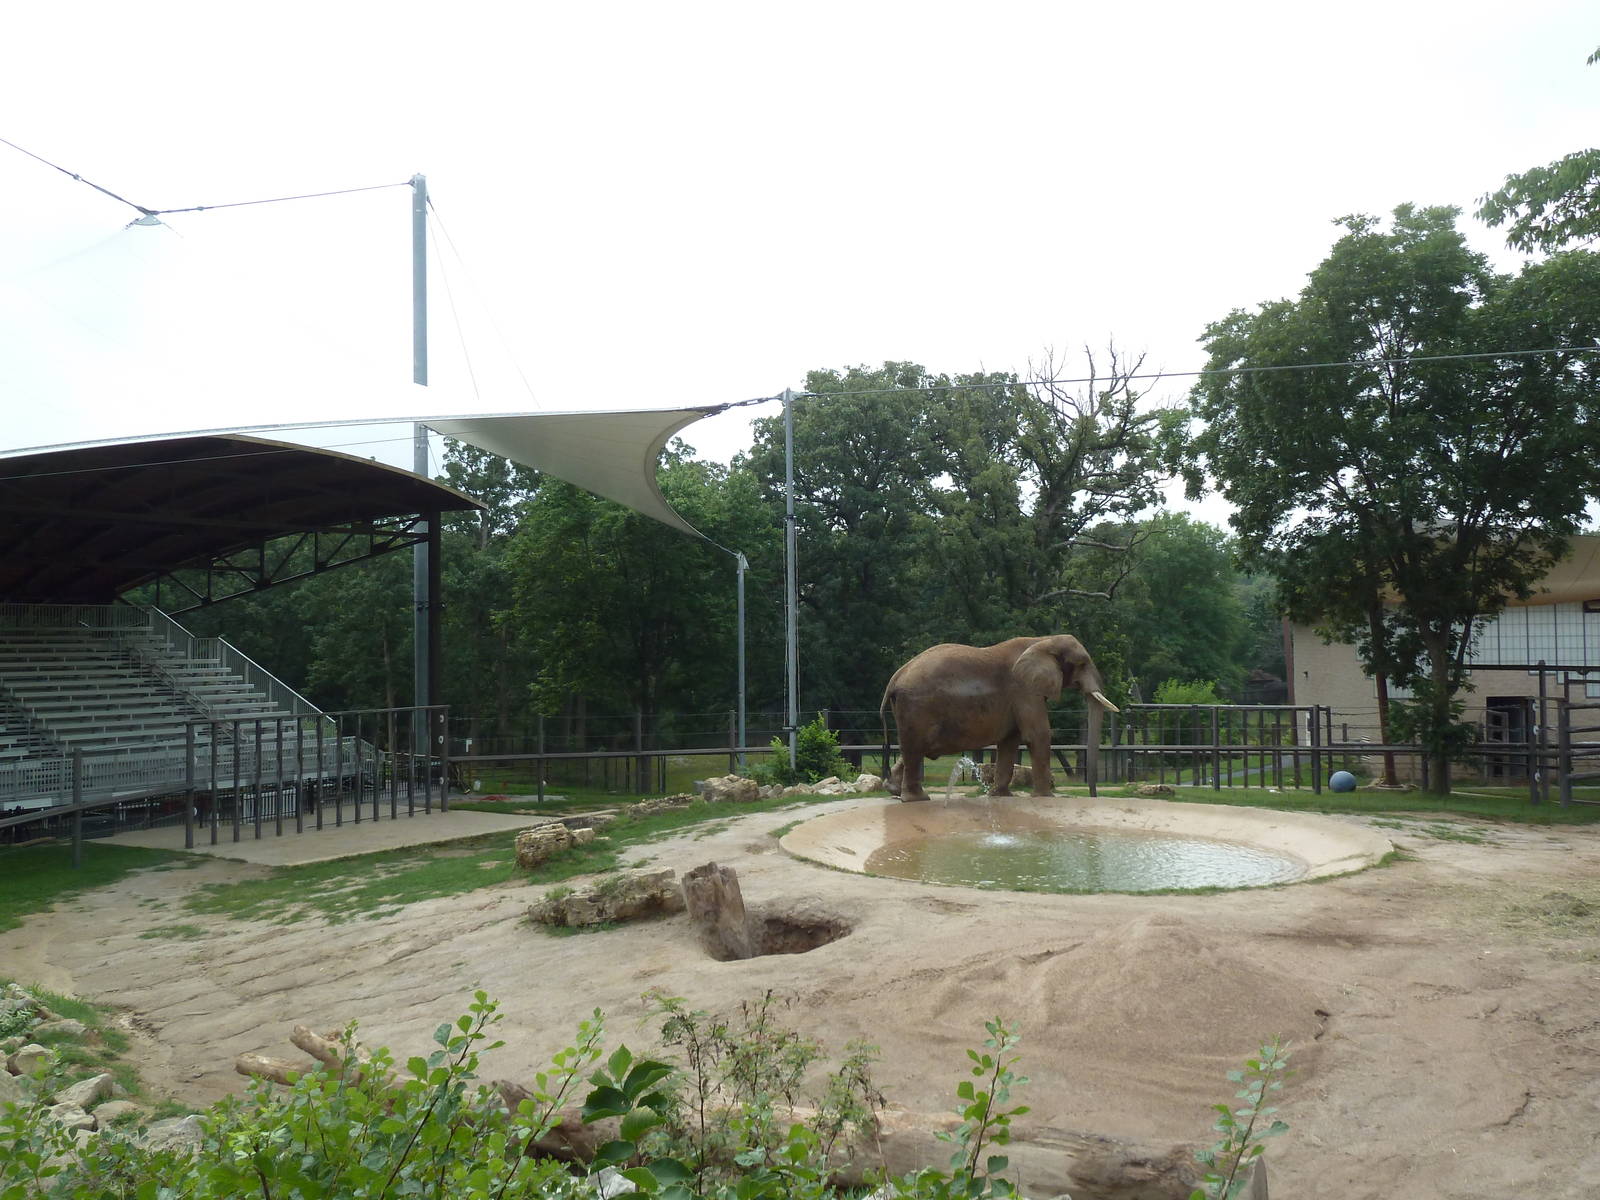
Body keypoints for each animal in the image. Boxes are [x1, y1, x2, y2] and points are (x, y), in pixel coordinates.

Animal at [879, 635, 1119, 803]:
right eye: (1082, 663)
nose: (1093, 796)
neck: (1042, 640)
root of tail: (894, 680)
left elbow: (1010, 740)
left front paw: (1000, 796)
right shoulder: (1024, 689)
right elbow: (1037, 734)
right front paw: (1044, 797)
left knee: (912, 748)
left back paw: (893, 790)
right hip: (917, 707)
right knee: (915, 748)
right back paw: (917, 799)